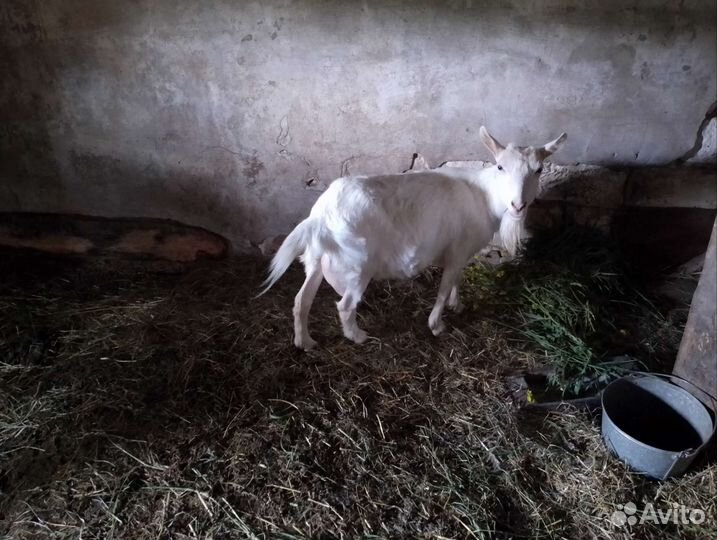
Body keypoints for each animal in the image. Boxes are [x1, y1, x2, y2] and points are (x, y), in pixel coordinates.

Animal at [260, 127, 567, 349]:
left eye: (539, 170)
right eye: (500, 167)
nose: (518, 205)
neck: (485, 195)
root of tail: (320, 217)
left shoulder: (460, 252)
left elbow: (456, 280)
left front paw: (457, 305)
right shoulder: (457, 250)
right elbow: (444, 287)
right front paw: (436, 325)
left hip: (315, 260)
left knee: (301, 300)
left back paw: (305, 342)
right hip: (357, 266)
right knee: (344, 306)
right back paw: (357, 336)